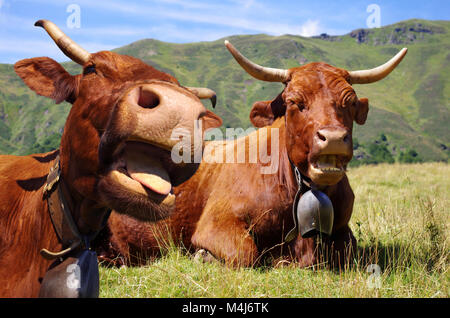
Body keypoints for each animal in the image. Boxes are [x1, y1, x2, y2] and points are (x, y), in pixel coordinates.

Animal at [98, 39, 408, 268]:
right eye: (295, 102)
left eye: (350, 102)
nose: (332, 138)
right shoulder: (216, 223)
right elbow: (246, 253)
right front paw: (204, 256)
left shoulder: (344, 229)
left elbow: (346, 251)